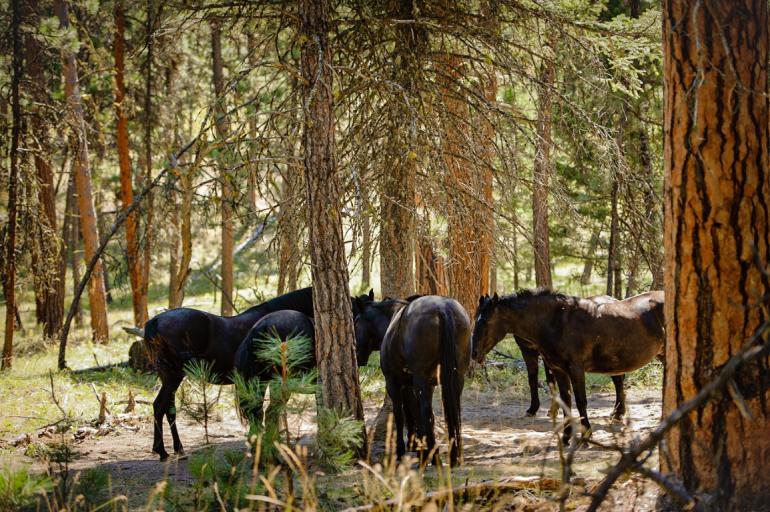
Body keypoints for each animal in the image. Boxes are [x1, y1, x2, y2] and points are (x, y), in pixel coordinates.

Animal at [145, 288, 376, 460]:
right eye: (356, 318)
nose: (361, 357)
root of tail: (155, 321)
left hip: (169, 376)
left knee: (168, 409)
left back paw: (176, 448)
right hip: (174, 375)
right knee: (160, 406)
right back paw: (163, 451)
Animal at [352, 294, 472, 466]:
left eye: (356, 322)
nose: (356, 354)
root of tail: (443, 309)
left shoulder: (394, 384)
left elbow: (402, 414)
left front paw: (405, 450)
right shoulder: (419, 385)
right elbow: (417, 414)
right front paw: (419, 447)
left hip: (420, 380)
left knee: (425, 412)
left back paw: (433, 458)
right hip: (456, 378)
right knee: (453, 411)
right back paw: (453, 456)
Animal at [472, 290, 664, 442]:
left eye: (487, 321)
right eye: (476, 318)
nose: (474, 354)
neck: (557, 323)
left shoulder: (576, 369)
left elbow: (580, 401)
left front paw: (586, 435)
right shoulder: (558, 370)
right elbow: (566, 400)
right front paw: (566, 436)